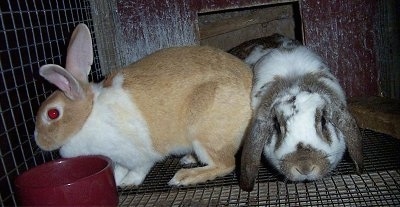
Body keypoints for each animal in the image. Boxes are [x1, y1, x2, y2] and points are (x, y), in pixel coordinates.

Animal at [35, 23, 253, 187]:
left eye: (52, 114)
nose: (38, 142)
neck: (88, 116)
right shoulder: (118, 159)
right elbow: (118, 170)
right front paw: (117, 181)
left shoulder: (138, 155)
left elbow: (138, 169)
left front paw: (128, 183)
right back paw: (189, 159)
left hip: (206, 134)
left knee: (226, 164)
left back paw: (184, 177)